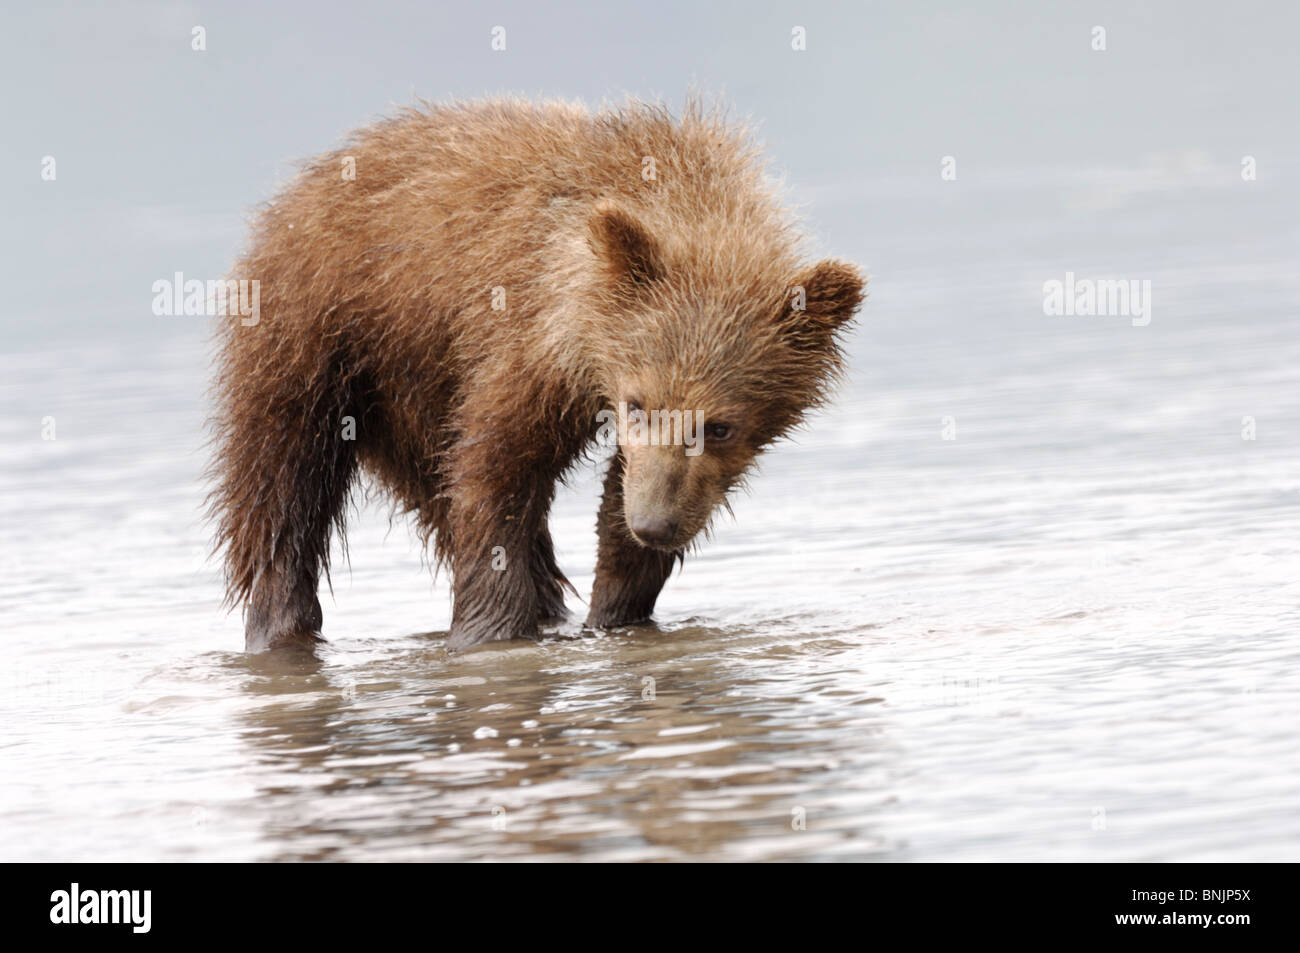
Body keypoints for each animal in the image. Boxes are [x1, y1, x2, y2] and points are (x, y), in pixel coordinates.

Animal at [209, 98, 866, 653]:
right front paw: (487, 632)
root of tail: (302, 182)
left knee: (433, 489)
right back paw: (278, 623)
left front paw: (616, 604)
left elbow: (611, 493)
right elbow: (495, 469)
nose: (655, 526)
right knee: (283, 483)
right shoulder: (528, 337)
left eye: (721, 426)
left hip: (404, 399)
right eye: (638, 404)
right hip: (321, 335)